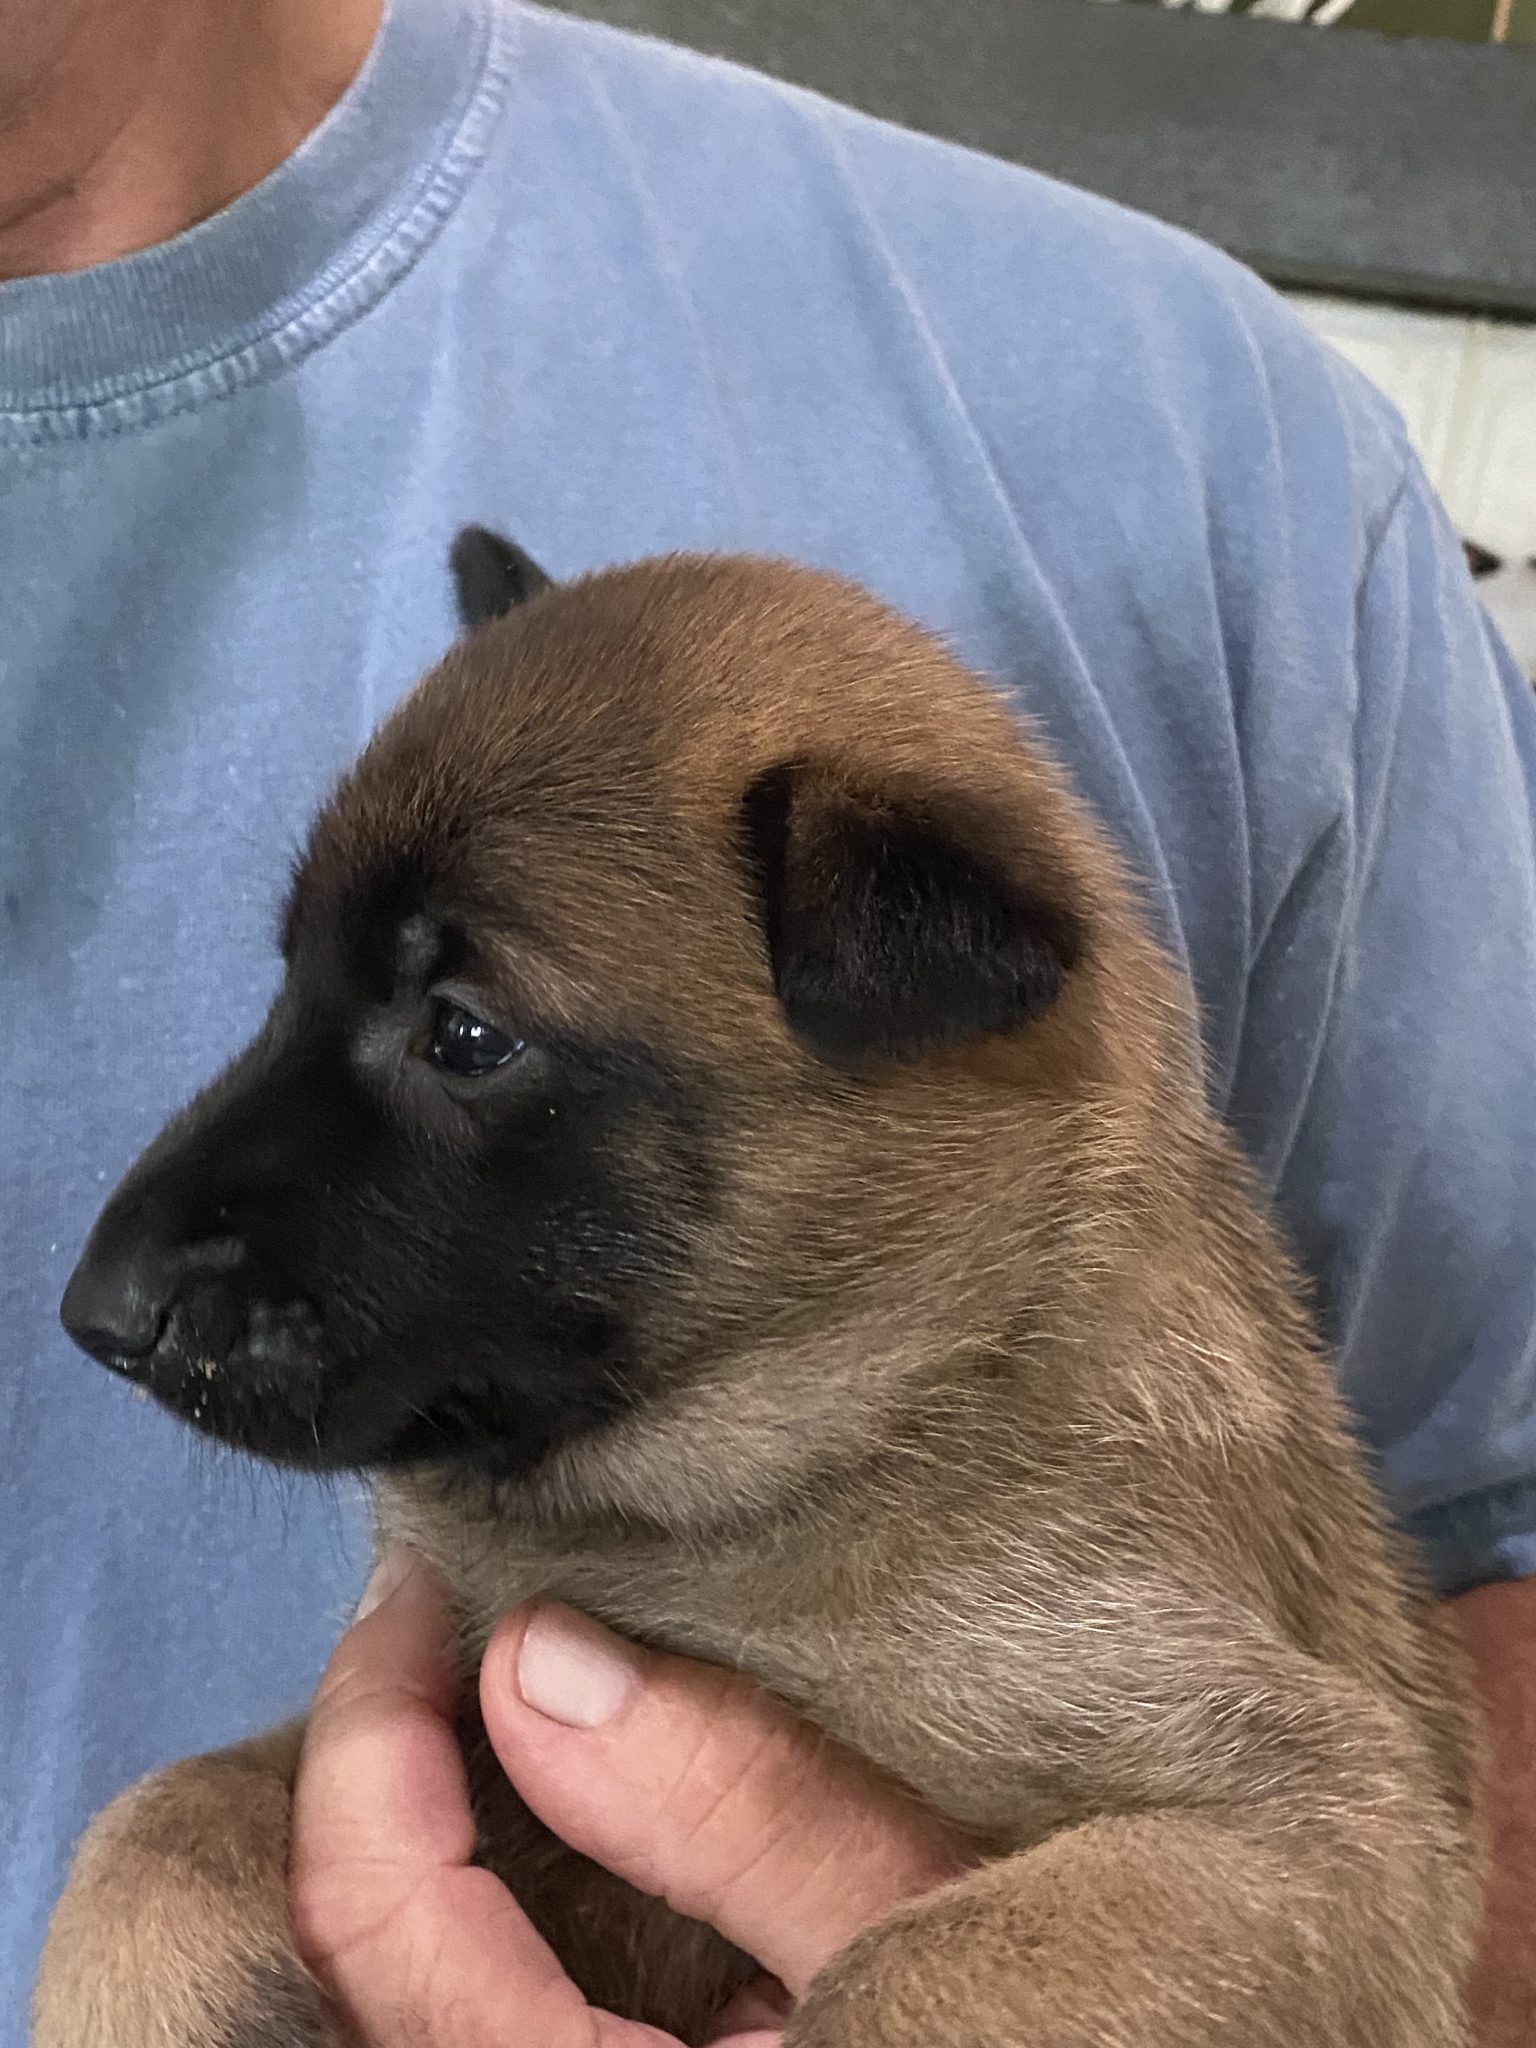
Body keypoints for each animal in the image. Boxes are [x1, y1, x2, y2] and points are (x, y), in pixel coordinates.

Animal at [33, 536, 1482, 2039]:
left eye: (467, 1036)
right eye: (288, 982)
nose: (96, 1316)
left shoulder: (1313, 1817)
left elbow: (897, 1968)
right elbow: (165, 1803)